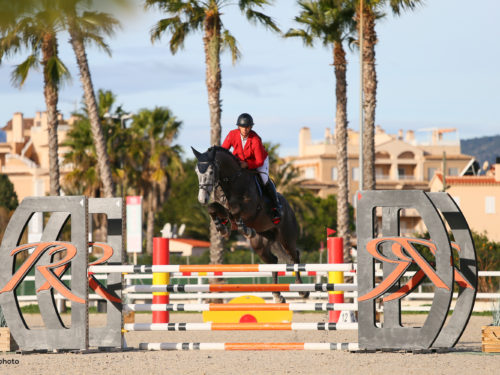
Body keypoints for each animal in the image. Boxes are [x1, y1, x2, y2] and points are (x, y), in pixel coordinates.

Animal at [191, 145, 308, 304]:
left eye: (211, 171)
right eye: (197, 171)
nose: (202, 198)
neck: (231, 182)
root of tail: (289, 207)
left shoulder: (250, 210)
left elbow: (235, 212)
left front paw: (243, 229)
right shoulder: (222, 207)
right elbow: (213, 208)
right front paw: (222, 227)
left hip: (286, 238)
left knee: (294, 256)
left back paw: (302, 289)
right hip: (260, 243)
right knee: (273, 260)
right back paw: (277, 295)